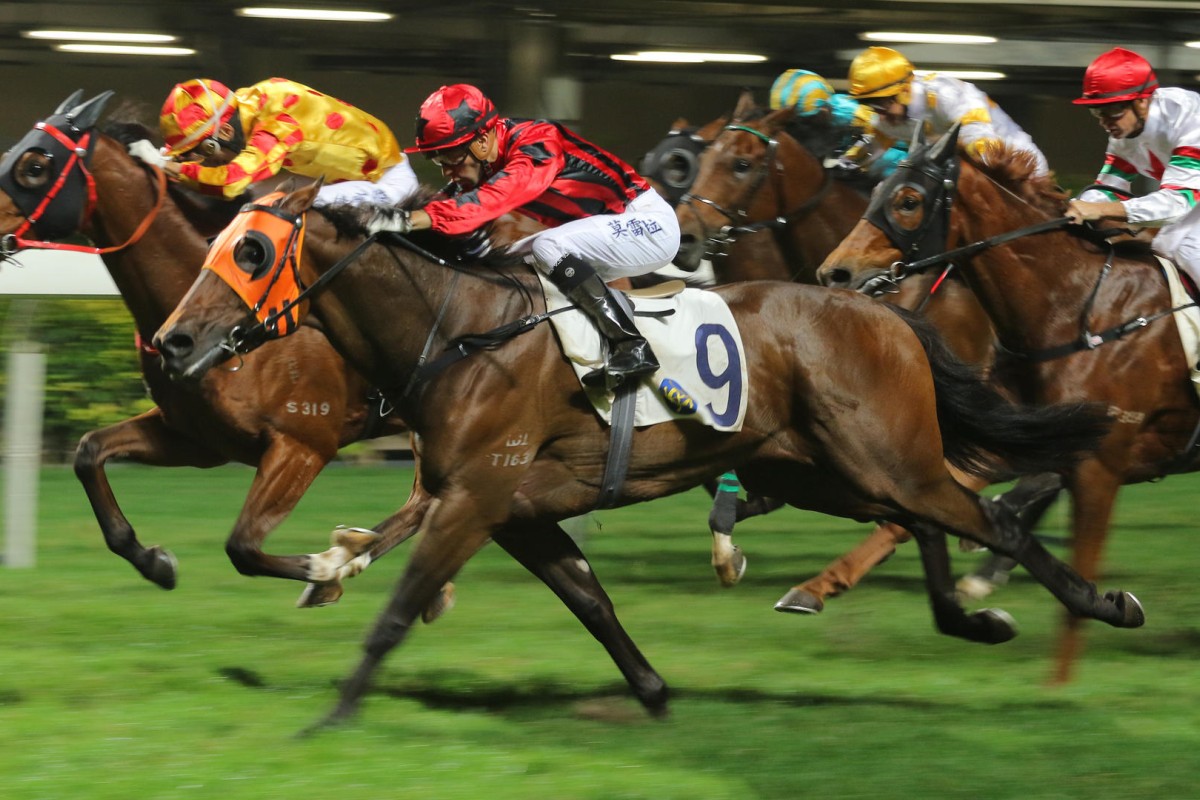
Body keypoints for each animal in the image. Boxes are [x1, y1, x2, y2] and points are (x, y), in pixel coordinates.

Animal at [0, 89, 444, 614]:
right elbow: (89, 452)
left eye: (34, 166)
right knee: (423, 501)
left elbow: (243, 545)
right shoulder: (198, 438)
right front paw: (154, 562)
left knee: (425, 499)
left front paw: (326, 568)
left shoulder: (303, 444)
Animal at [150, 179, 1132, 724]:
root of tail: (883, 307)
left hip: (878, 456)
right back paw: (968, 617)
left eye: (250, 249)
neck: (461, 331)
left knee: (989, 521)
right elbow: (589, 599)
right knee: (924, 519)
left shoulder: (476, 497)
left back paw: (1101, 603)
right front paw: (655, 694)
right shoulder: (511, 507)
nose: (171, 341)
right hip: (826, 468)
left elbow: (400, 601)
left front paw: (336, 701)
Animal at [816, 122, 1190, 686]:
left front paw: (1060, 685)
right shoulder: (1015, 436)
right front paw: (816, 586)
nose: (833, 273)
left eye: (908, 200)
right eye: (877, 191)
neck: (1076, 310)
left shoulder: (1099, 464)